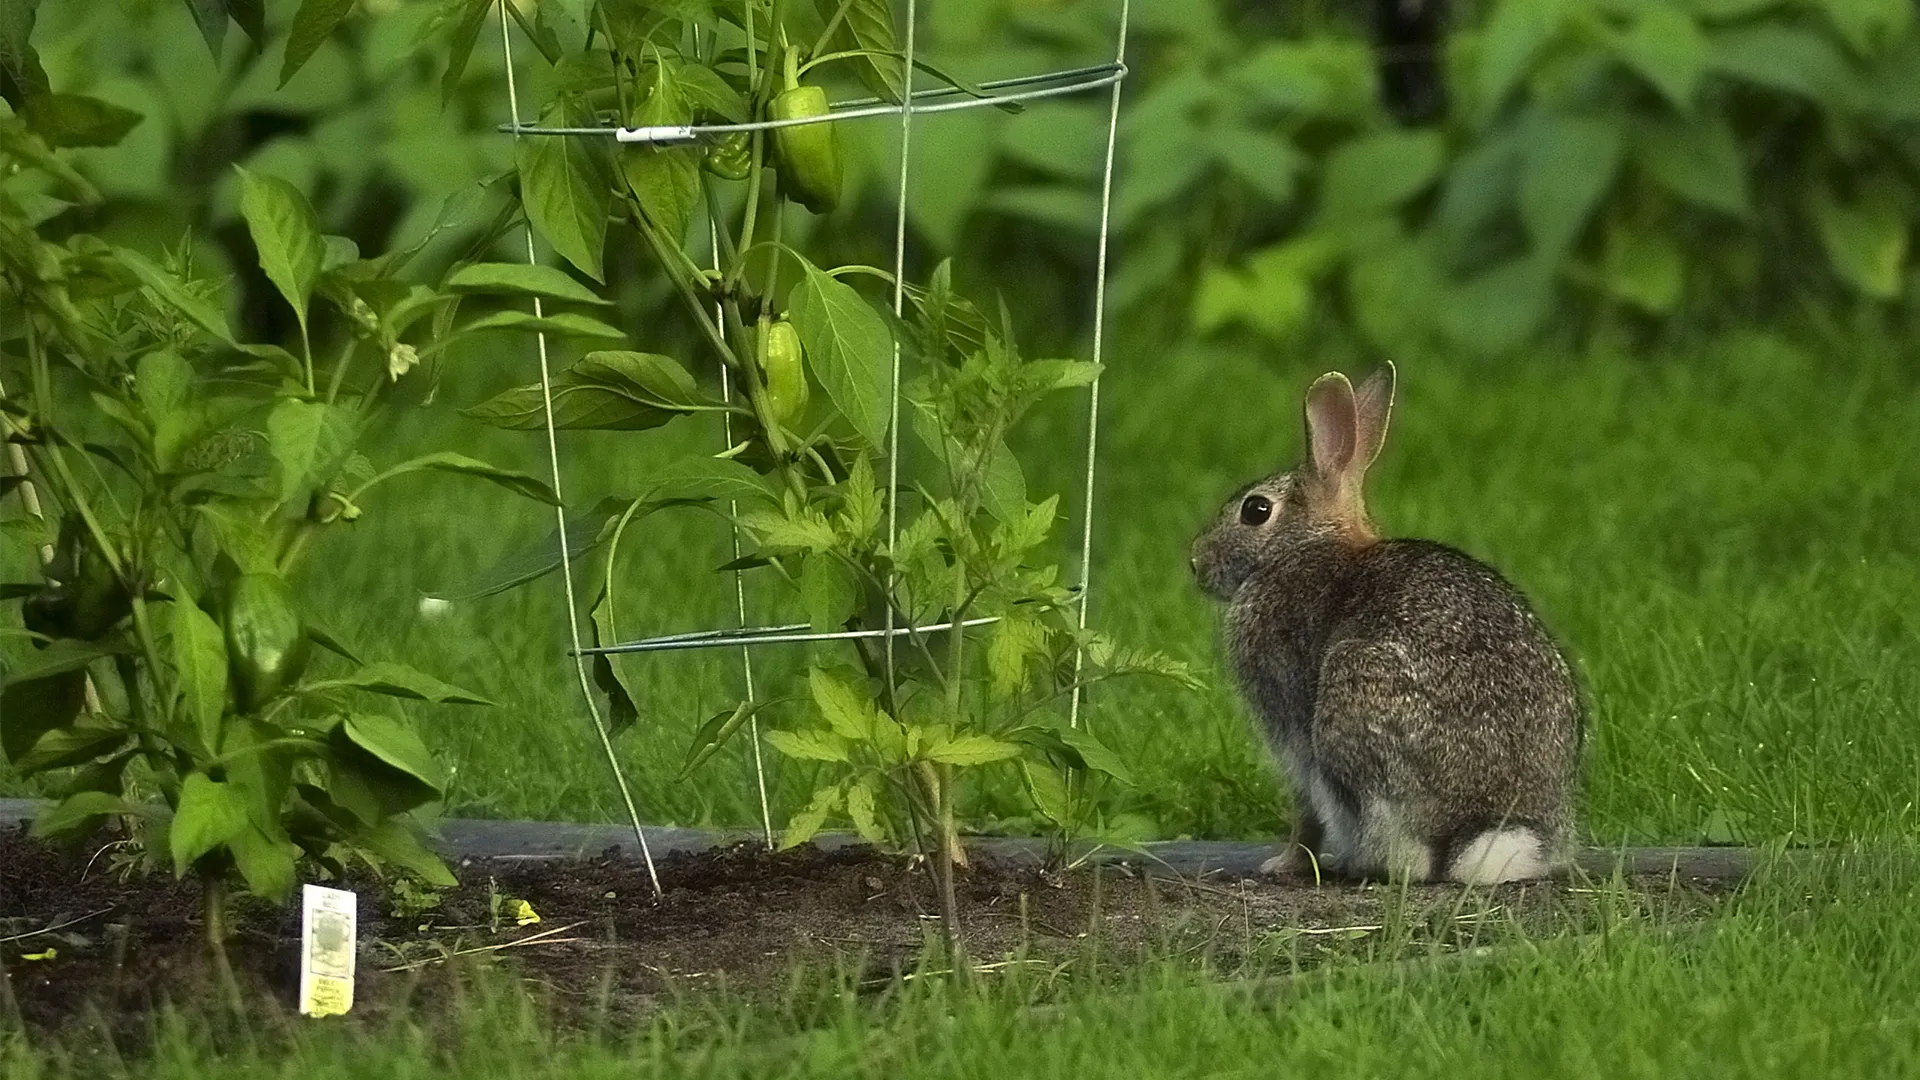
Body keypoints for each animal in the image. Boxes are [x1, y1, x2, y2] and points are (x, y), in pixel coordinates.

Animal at [1190, 363, 1582, 883]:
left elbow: (1305, 809)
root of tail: (1480, 828)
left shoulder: (1291, 728)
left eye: (1256, 510)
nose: (1196, 564)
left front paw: (1283, 863)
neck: (1304, 548)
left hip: (1352, 697)